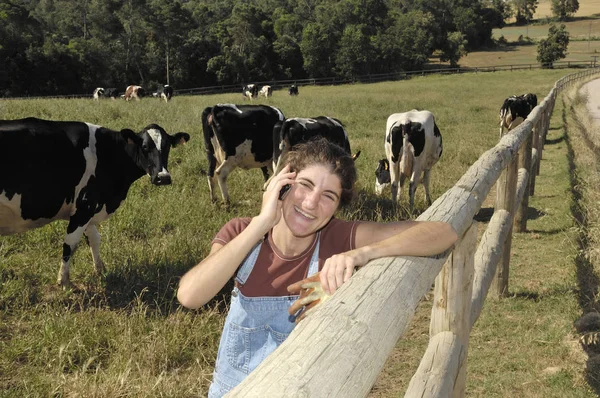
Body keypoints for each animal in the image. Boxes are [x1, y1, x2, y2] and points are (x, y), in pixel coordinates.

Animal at [0, 116, 190, 288]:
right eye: (144, 147)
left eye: (167, 146)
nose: (163, 177)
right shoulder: (85, 205)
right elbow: (69, 244)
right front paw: (64, 281)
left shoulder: (89, 208)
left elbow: (94, 239)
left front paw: (100, 270)